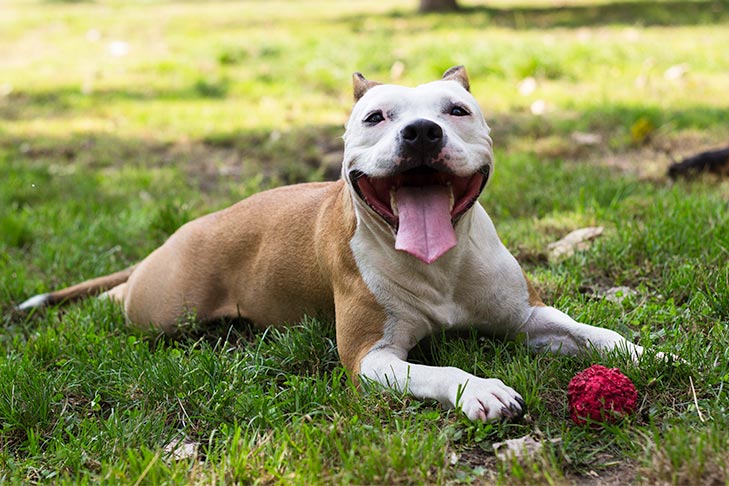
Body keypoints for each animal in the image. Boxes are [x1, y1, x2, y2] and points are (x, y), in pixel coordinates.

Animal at [17, 67, 644, 422]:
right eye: (376, 116)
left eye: (456, 111)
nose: (421, 132)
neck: (439, 266)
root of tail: (183, 229)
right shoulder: (372, 356)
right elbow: (441, 370)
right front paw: (481, 390)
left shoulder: (524, 315)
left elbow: (587, 330)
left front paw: (641, 351)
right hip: (165, 309)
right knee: (124, 299)